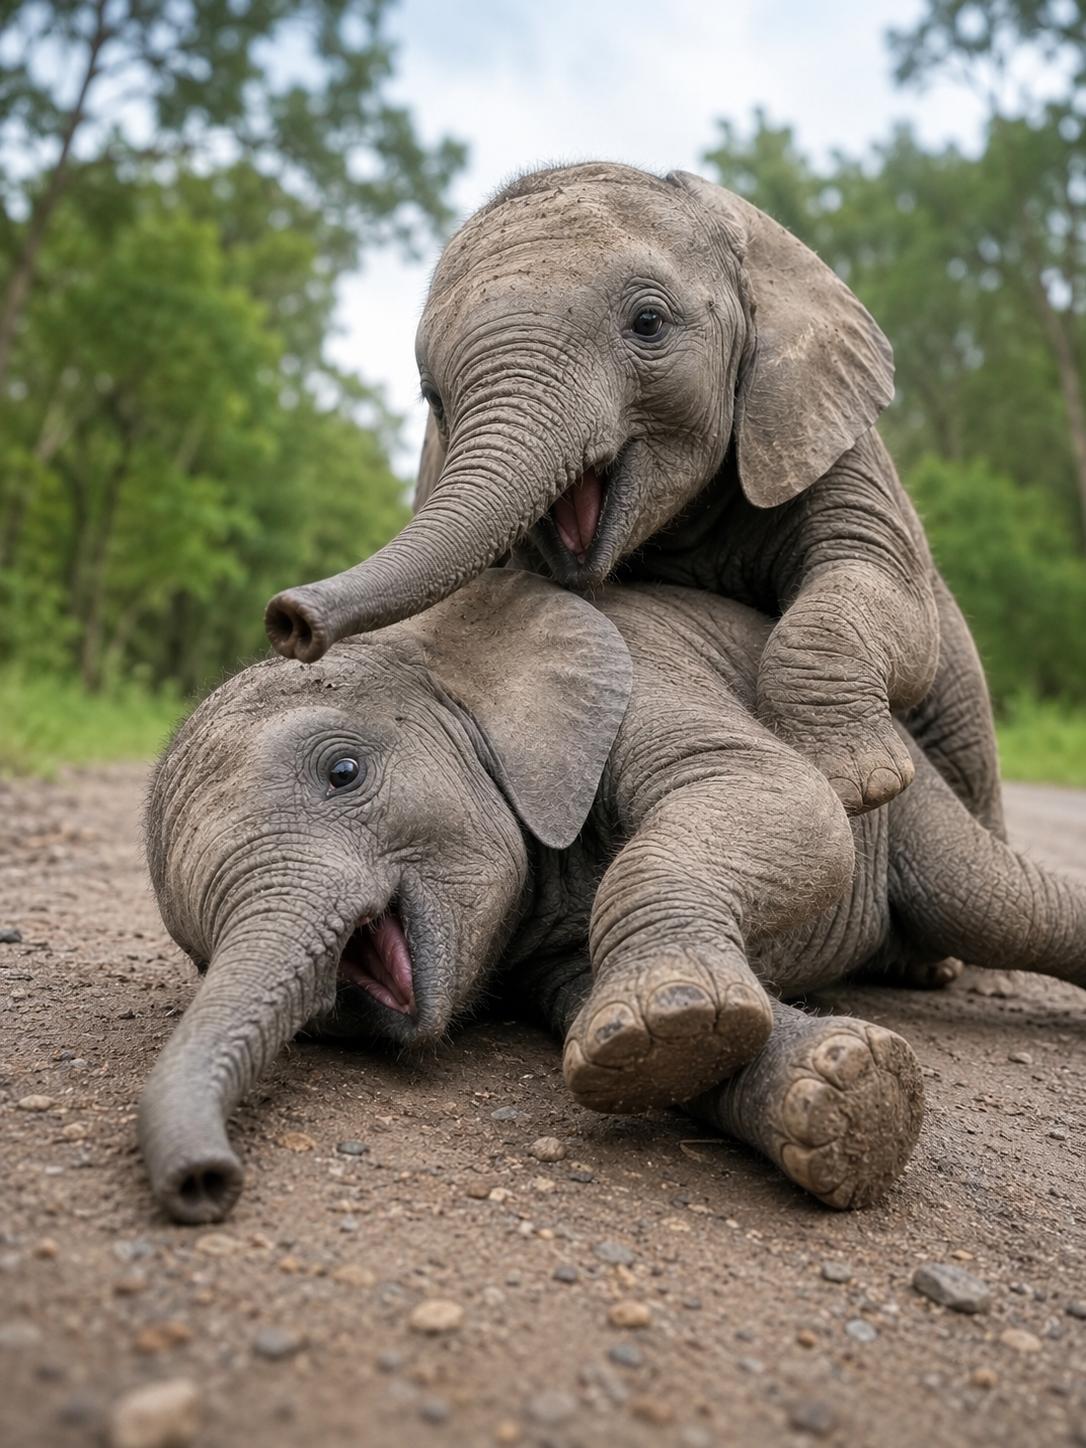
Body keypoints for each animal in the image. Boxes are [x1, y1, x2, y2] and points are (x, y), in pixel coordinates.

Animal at [141, 571, 1085, 1225]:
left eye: (343, 771)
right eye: (199, 950)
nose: (206, 1185)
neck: (429, 647)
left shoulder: (641, 675)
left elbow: (781, 798)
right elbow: (610, 1016)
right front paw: (812, 1083)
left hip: (907, 784)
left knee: (998, 903)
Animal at [264, 162, 1002, 835]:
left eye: (648, 323)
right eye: (431, 396)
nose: (288, 620)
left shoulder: (818, 427)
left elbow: (881, 589)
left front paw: (859, 787)